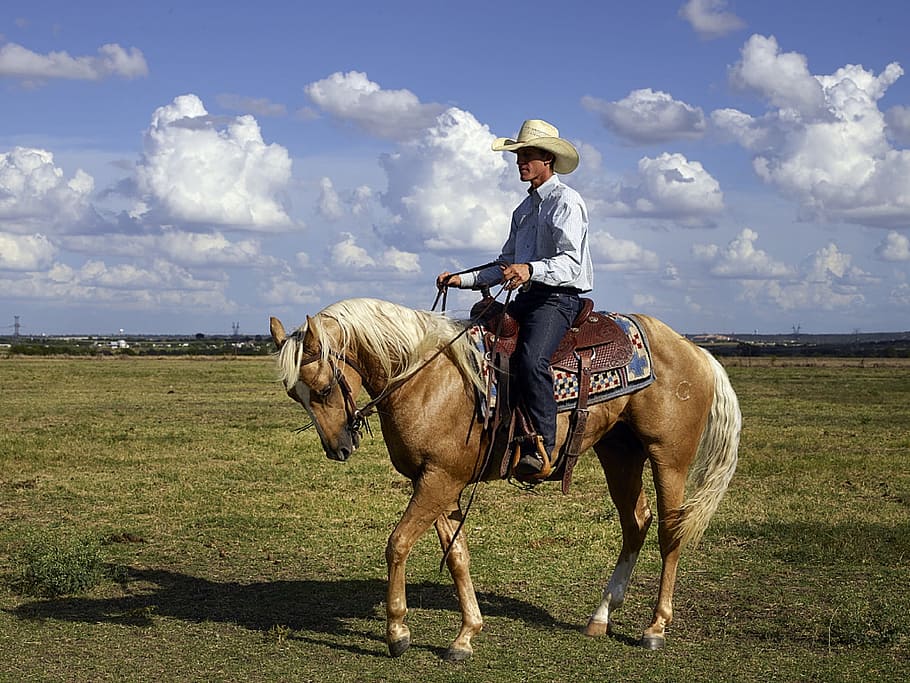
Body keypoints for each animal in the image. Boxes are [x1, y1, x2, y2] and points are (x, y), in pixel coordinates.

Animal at [268, 298, 740, 664]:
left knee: (670, 532)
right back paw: (601, 616)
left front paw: (398, 633)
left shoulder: (438, 480)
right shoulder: (442, 482)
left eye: (324, 388)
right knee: (636, 523)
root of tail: (694, 350)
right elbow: (457, 556)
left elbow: (397, 544)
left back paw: (655, 628)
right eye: (295, 394)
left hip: (669, 459)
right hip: (619, 453)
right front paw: (465, 636)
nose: (338, 447)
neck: (427, 378)